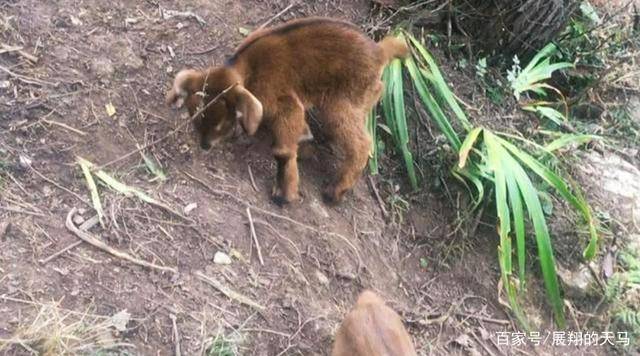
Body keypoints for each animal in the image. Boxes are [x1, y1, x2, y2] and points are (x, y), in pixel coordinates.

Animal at [168, 17, 408, 206]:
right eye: (195, 120)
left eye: (220, 123)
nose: (205, 146)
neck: (249, 69)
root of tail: (381, 52)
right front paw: (305, 138)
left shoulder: (282, 101)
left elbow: (284, 150)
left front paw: (285, 193)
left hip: (341, 104)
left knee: (362, 144)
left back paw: (335, 191)